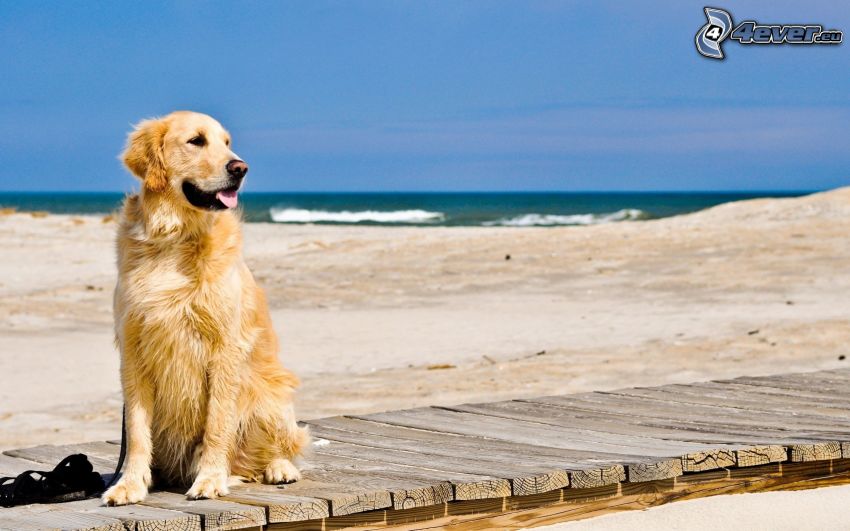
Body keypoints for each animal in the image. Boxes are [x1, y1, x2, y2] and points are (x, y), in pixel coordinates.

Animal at [102, 110, 308, 504]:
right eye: (196, 141)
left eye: (227, 142)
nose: (240, 168)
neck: (174, 238)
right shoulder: (133, 351)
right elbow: (136, 431)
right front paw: (130, 483)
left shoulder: (225, 348)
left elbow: (217, 423)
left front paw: (210, 479)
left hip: (270, 394)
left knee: (277, 448)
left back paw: (279, 468)